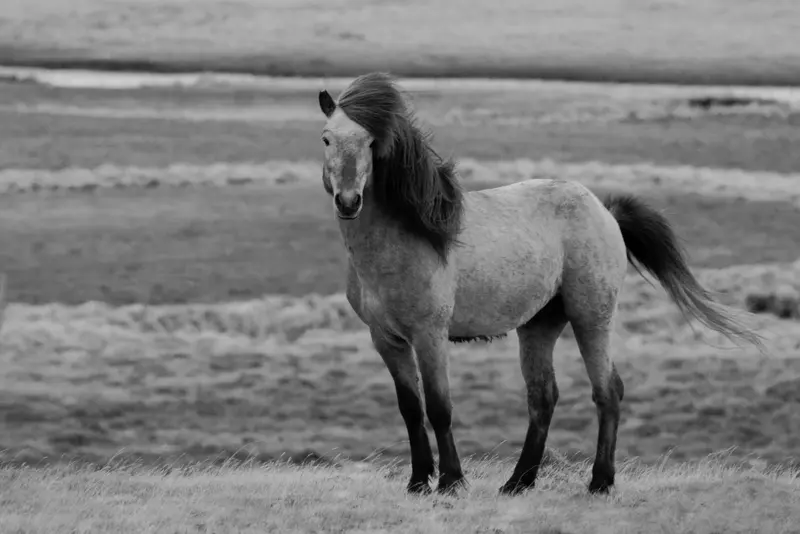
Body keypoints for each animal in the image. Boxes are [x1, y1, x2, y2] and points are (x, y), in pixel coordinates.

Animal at [316, 72, 764, 496]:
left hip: (591, 318)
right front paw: (417, 483)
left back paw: (600, 481)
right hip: (539, 326)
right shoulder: (387, 340)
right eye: (326, 138)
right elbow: (410, 409)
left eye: (371, 142)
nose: (349, 201)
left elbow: (440, 408)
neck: (407, 238)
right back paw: (519, 481)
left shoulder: (430, 336)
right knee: (543, 397)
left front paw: (451, 482)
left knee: (607, 391)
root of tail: (603, 210)